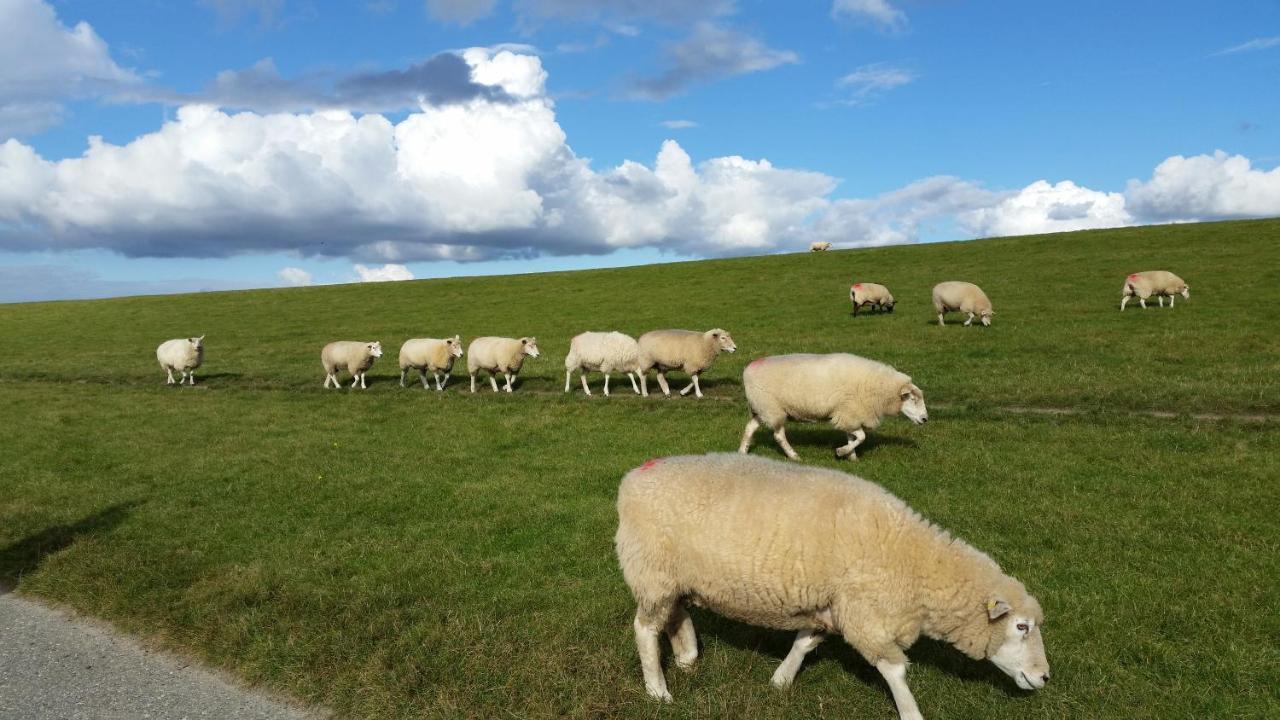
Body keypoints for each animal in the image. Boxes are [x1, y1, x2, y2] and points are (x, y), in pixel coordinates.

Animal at [616, 450, 1049, 712]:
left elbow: (804, 643)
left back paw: (688, 658)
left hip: (672, 577)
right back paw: (658, 690)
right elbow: (895, 671)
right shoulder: (865, 616)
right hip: (652, 571)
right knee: (645, 628)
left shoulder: (830, 605)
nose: (1045, 677)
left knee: (674, 615)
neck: (913, 562)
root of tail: (632, 479)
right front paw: (911, 712)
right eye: (1021, 627)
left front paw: (781, 680)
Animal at [742, 353, 931, 458]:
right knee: (779, 435)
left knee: (750, 428)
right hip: (772, 408)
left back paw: (742, 451)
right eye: (912, 399)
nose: (925, 419)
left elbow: (853, 436)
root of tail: (748, 368)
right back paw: (794, 455)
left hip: (761, 409)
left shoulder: (849, 413)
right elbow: (862, 437)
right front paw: (842, 452)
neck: (878, 387)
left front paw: (852, 456)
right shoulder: (851, 412)